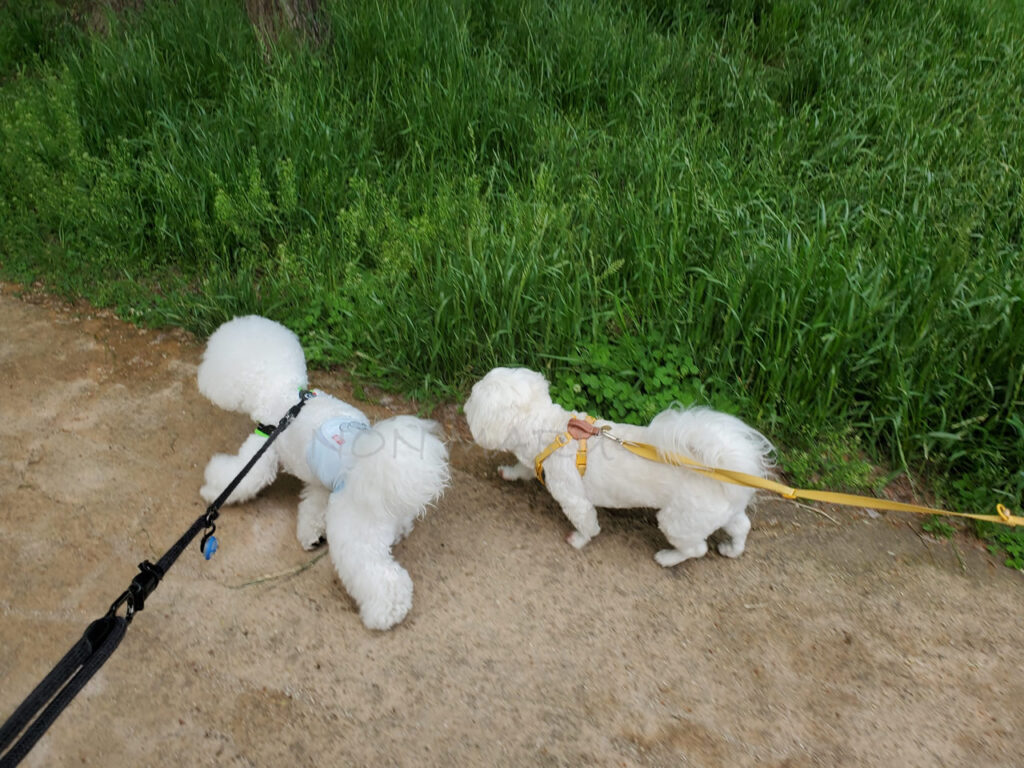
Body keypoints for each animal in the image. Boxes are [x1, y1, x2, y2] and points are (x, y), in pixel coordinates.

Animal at [197, 313, 450, 630]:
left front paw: (211, 488)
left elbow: (238, 478)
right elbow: (313, 505)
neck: (281, 390)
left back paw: (385, 613)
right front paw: (311, 533)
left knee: (380, 577)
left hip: (355, 530)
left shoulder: (263, 449)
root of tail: (373, 463)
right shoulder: (319, 479)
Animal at [460, 370, 770, 569]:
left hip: (679, 521)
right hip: (719, 512)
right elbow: (522, 469)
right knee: (741, 526)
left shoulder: (572, 497)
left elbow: (586, 522)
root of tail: (726, 463)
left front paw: (579, 540)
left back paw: (667, 558)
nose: (464, 403)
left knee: (696, 548)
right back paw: (732, 549)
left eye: (474, 397)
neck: (552, 431)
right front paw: (510, 472)